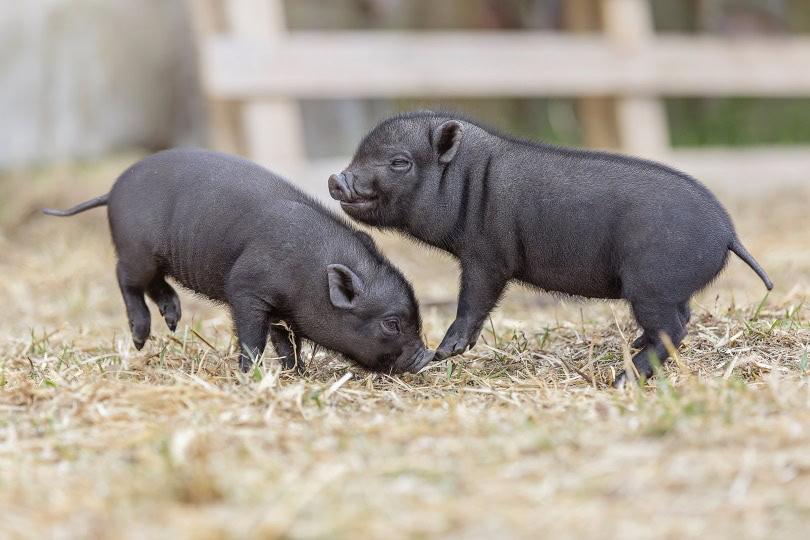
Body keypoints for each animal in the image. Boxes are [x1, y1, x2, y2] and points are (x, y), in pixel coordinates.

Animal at [44, 148, 433, 374]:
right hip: (136, 251)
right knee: (125, 277)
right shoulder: (247, 289)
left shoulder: (280, 309)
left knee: (156, 285)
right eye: (392, 324)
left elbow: (286, 342)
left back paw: (173, 320)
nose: (426, 357)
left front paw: (296, 374)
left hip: (158, 258)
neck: (309, 272)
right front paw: (249, 375)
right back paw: (140, 340)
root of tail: (111, 191)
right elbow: (251, 337)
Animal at [329, 111, 773, 386]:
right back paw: (633, 346)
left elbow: (474, 298)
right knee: (681, 318)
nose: (337, 178)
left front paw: (444, 352)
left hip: (651, 284)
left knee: (675, 327)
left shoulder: (488, 254)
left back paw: (623, 379)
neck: (469, 180)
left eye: (399, 163)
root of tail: (728, 233)